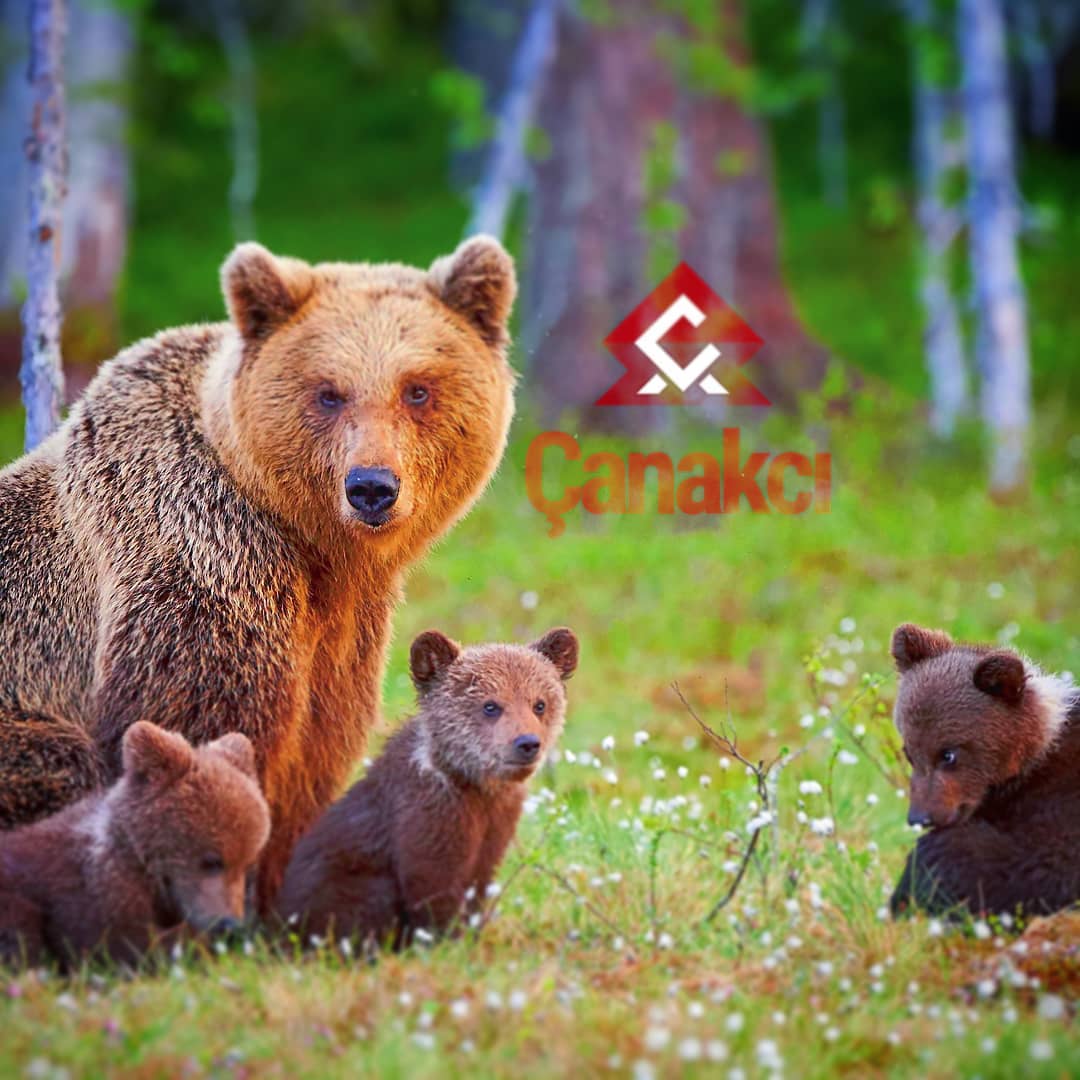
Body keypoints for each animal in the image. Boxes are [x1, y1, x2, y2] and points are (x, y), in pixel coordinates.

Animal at [0, 236, 517, 905]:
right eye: (328, 392)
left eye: (418, 389)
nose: (371, 488)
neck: (313, 547)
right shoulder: (204, 568)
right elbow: (204, 732)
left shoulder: (342, 631)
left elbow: (316, 749)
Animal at [274, 626, 579, 947]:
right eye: (491, 705)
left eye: (539, 704)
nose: (527, 743)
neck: (474, 786)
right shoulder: (427, 822)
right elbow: (431, 888)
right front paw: (446, 942)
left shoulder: (495, 827)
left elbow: (478, 884)